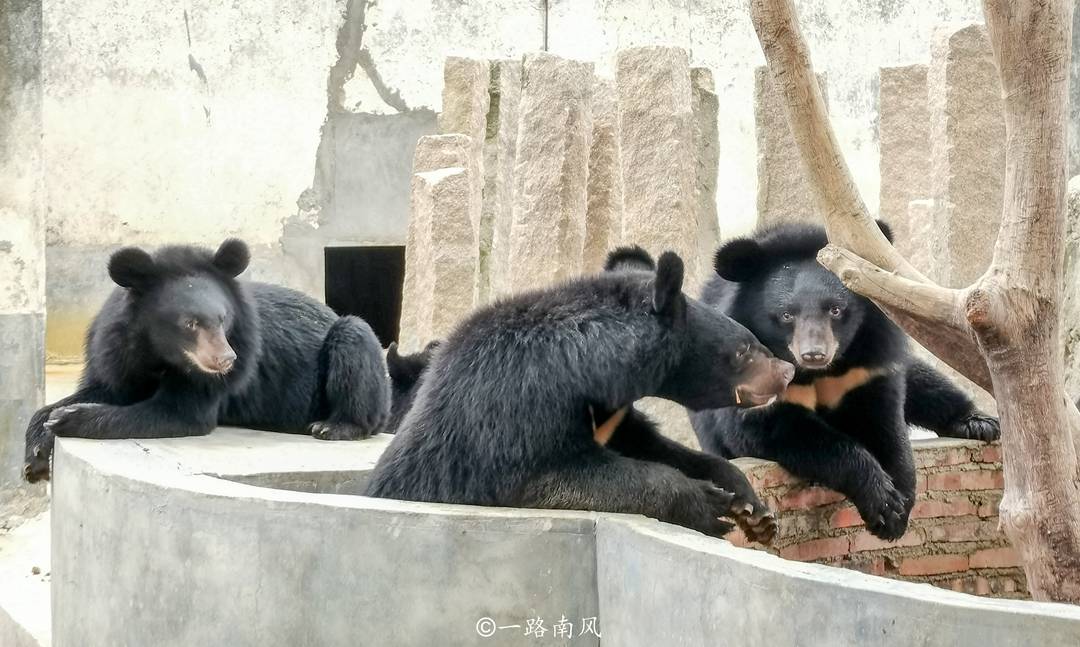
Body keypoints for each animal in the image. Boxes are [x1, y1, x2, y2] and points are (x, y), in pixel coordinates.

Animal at [24, 237, 393, 481]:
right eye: (190, 323)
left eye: (223, 319)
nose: (226, 359)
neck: (159, 355)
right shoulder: (115, 352)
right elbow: (105, 388)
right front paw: (36, 455)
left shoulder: (212, 377)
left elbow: (180, 412)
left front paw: (68, 419)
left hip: (357, 361)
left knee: (355, 340)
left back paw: (333, 426)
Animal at [367, 248, 799, 542]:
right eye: (743, 349)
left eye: (751, 340)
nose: (787, 371)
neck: (587, 373)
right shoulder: (515, 410)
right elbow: (558, 477)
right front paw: (708, 504)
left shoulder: (615, 415)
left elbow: (658, 446)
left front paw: (751, 506)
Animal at [686, 222, 997, 542]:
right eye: (786, 315)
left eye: (835, 310)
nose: (814, 354)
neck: (816, 373)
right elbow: (775, 430)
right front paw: (883, 503)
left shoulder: (864, 367)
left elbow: (885, 422)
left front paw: (899, 506)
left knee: (925, 382)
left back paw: (978, 422)